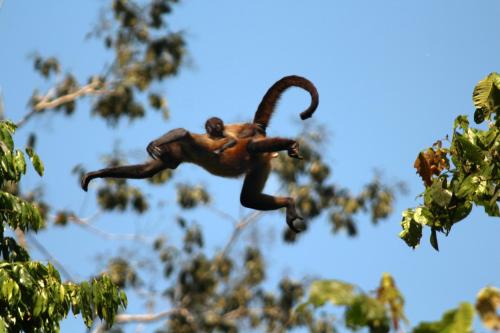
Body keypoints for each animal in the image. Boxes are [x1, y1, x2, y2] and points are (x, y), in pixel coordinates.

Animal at [80, 75, 318, 231]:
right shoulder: (177, 156)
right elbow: (146, 171)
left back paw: (290, 144)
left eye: (167, 154)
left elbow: (183, 132)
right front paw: (95, 175)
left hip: (255, 152)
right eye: (168, 161)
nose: (169, 162)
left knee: (250, 149)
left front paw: (154, 143)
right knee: (248, 198)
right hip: (261, 164)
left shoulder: (189, 144)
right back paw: (288, 202)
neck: (184, 152)